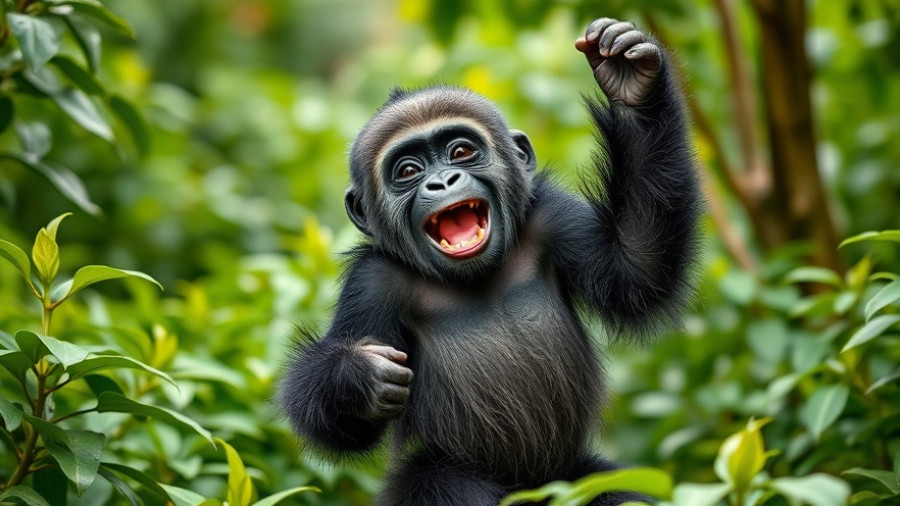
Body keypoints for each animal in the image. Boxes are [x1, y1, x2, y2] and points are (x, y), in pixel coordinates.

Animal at [279, 17, 701, 506]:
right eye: (408, 171)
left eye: (460, 151)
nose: (443, 181)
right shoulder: (371, 285)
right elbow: (345, 426)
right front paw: (356, 377)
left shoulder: (553, 219)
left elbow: (636, 266)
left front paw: (633, 82)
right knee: (445, 488)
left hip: (575, 478)